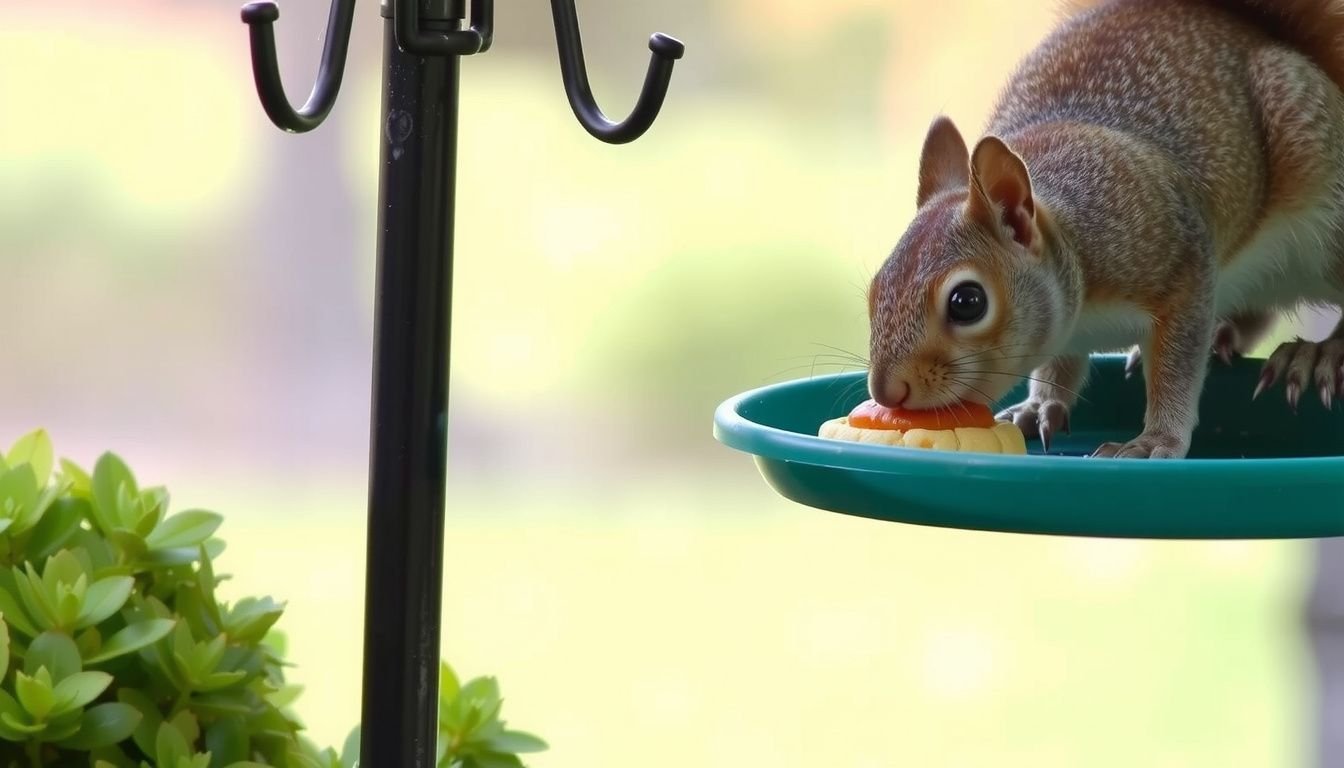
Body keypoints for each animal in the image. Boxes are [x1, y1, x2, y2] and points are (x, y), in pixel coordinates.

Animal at [867, 0, 1344, 458]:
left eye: (968, 302)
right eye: (875, 289)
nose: (888, 392)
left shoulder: (1177, 259)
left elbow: (1176, 367)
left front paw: (1156, 440)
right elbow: (1060, 365)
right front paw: (1039, 406)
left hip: (1325, 216)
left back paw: (1319, 352)